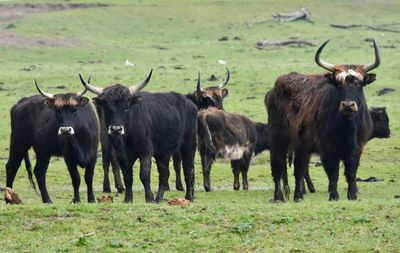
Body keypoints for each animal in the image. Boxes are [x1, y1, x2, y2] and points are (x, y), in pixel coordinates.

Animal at [79, 71, 197, 204]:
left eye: (126, 108)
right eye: (107, 108)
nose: (116, 129)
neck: (127, 137)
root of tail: (190, 103)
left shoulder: (146, 151)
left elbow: (144, 175)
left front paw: (149, 198)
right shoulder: (121, 155)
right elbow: (127, 176)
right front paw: (128, 199)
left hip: (189, 144)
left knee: (188, 169)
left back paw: (188, 197)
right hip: (163, 153)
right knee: (164, 173)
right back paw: (159, 198)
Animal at [266, 39, 382, 202]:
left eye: (359, 84)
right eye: (339, 84)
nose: (348, 105)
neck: (347, 127)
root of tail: (273, 90)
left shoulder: (357, 149)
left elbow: (351, 173)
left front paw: (352, 195)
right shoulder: (327, 150)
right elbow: (333, 174)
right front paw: (334, 196)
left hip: (302, 146)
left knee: (299, 169)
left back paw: (298, 196)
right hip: (278, 140)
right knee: (277, 167)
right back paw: (278, 197)